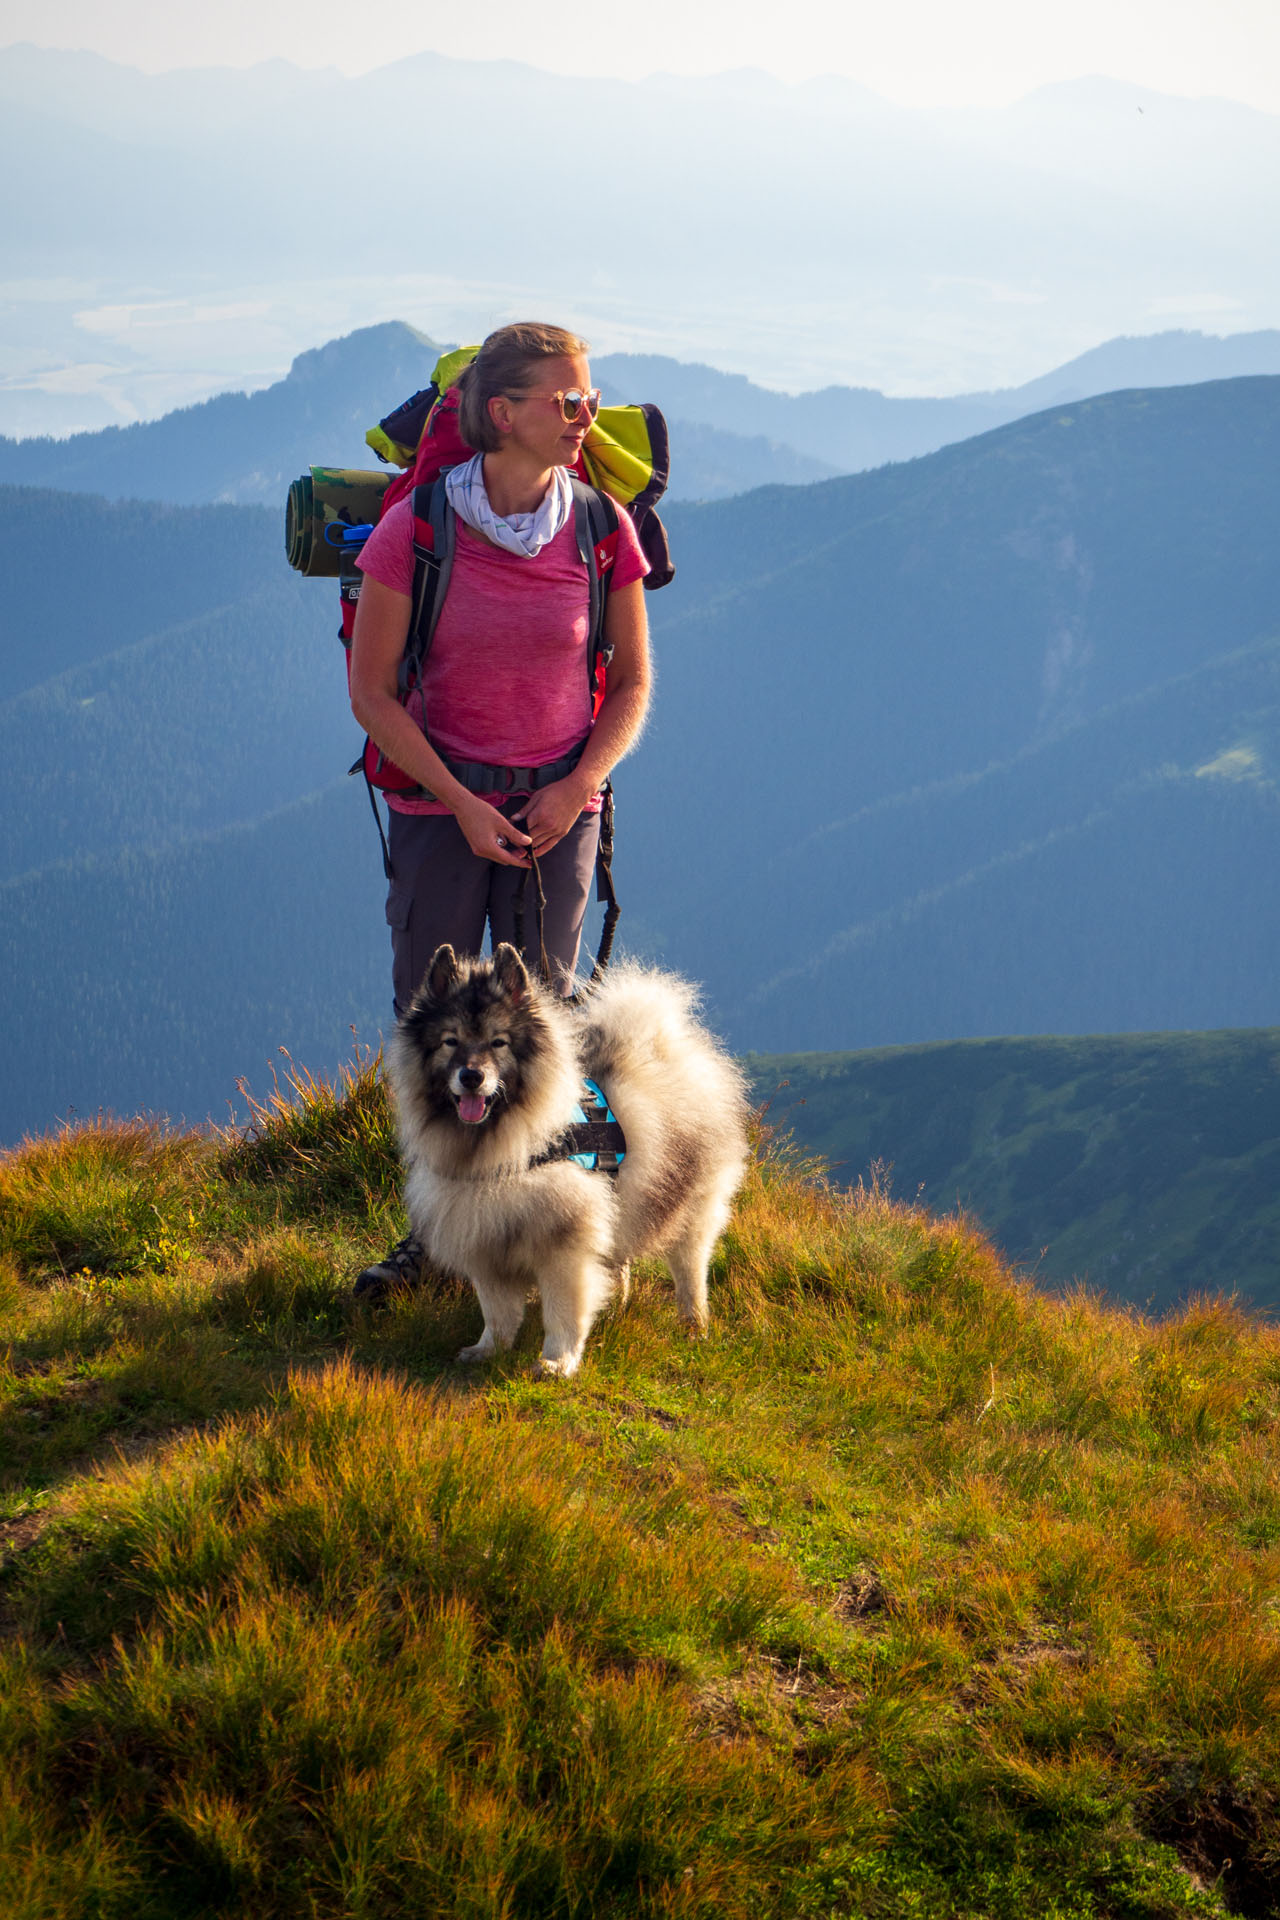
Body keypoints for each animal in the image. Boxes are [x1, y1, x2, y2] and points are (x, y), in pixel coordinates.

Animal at [391, 948, 752, 1382]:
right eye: (451, 1041)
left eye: (498, 1042)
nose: (472, 1076)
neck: (505, 1150)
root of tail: (667, 1046)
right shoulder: (486, 1240)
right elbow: (497, 1312)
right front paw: (489, 1349)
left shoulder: (563, 1247)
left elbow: (563, 1313)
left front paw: (557, 1361)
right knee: (621, 1260)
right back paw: (618, 1305)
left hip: (692, 1207)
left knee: (690, 1271)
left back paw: (694, 1325)